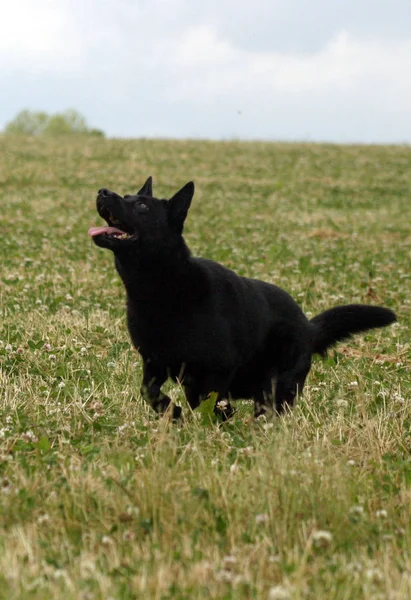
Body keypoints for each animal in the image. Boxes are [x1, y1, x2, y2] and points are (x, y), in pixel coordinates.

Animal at [88, 177, 398, 418]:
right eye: (127, 196)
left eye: (141, 206)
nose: (102, 191)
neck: (163, 289)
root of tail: (309, 328)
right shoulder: (154, 364)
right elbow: (150, 392)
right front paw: (172, 413)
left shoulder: (216, 372)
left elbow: (210, 405)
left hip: (276, 388)